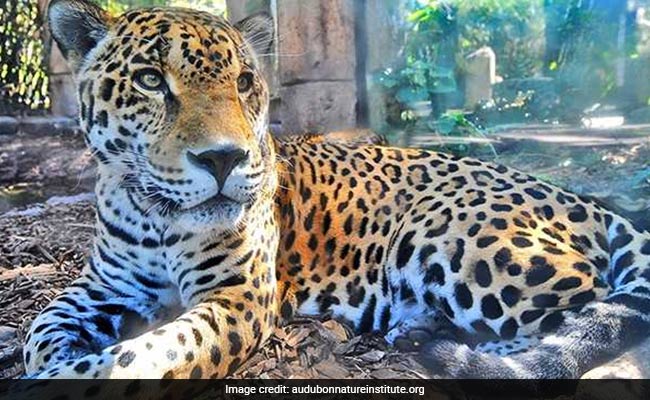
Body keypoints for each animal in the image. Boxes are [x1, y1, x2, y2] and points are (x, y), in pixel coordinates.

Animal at [24, 0, 650, 380]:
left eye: (245, 82)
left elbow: (142, 357)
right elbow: (38, 333)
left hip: (447, 232)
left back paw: (457, 350)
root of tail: (585, 201)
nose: (225, 158)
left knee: (586, 307)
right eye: (151, 80)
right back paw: (417, 328)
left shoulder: (239, 297)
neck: (155, 214)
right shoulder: (105, 285)